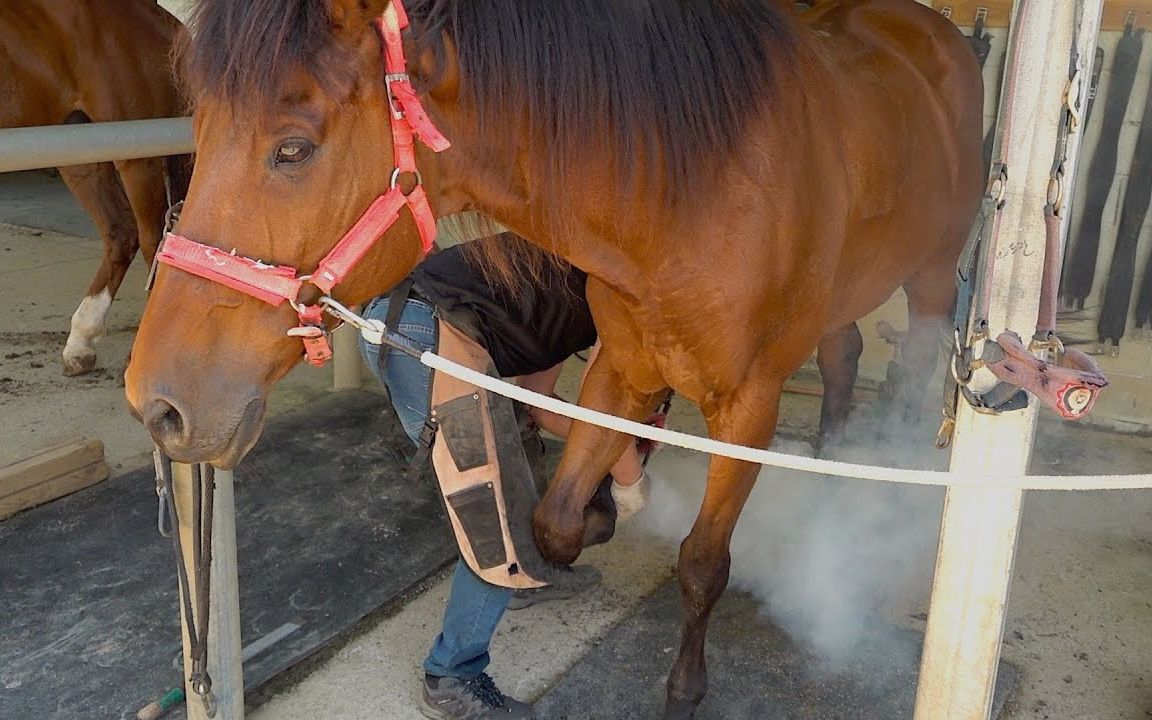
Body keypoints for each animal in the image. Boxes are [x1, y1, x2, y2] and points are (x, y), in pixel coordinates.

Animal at [123, 2, 981, 714]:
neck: (697, 190)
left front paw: (684, 689)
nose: (156, 403)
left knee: (909, 379)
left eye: (294, 149)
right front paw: (601, 512)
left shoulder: (748, 408)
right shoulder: (620, 371)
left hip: (934, 279)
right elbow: (554, 519)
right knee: (842, 361)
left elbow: (702, 562)